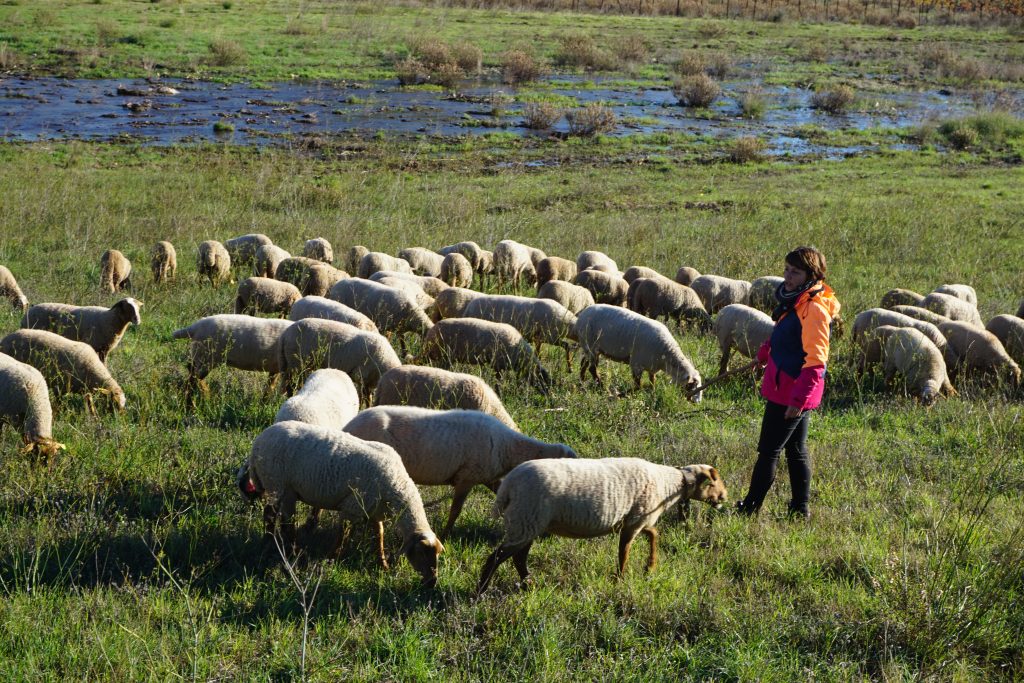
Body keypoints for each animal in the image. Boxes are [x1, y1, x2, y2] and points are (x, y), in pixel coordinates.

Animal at [237, 420, 443, 586]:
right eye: (423, 553)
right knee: (281, 520)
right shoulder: (352, 507)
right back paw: (290, 551)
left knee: (273, 516)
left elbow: (379, 536)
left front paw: (383, 564)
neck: (397, 486)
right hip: (279, 486)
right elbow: (342, 535)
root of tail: (257, 444)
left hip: (277, 487)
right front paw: (331, 559)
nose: (432, 583)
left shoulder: (373, 510)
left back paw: (271, 541)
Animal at [345, 407, 576, 540]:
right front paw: (446, 533)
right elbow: (456, 510)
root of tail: (349, 426)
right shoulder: (467, 478)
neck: (509, 447)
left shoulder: (487, 477)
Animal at [416, 318, 551, 394]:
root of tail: (431, 331)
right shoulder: (498, 365)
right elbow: (498, 382)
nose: (548, 396)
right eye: (543, 380)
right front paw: (499, 393)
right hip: (440, 354)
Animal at [476, 459, 726, 593]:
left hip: (528, 523)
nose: (725, 496)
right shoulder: (635, 521)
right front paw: (621, 579)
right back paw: (482, 590)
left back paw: (529, 583)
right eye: (715, 481)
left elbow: (653, 534)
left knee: (519, 557)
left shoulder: (635, 520)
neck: (670, 484)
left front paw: (650, 566)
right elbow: (624, 553)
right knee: (497, 557)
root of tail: (508, 486)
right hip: (525, 519)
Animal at [573, 304, 703, 399]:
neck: (667, 355)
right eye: (692, 385)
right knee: (592, 368)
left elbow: (652, 381)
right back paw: (601, 386)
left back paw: (582, 382)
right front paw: (621, 395)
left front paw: (652, 393)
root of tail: (582, 314)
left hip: (589, 348)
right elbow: (637, 386)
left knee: (583, 364)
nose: (697, 402)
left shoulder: (651, 366)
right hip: (591, 346)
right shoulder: (636, 364)